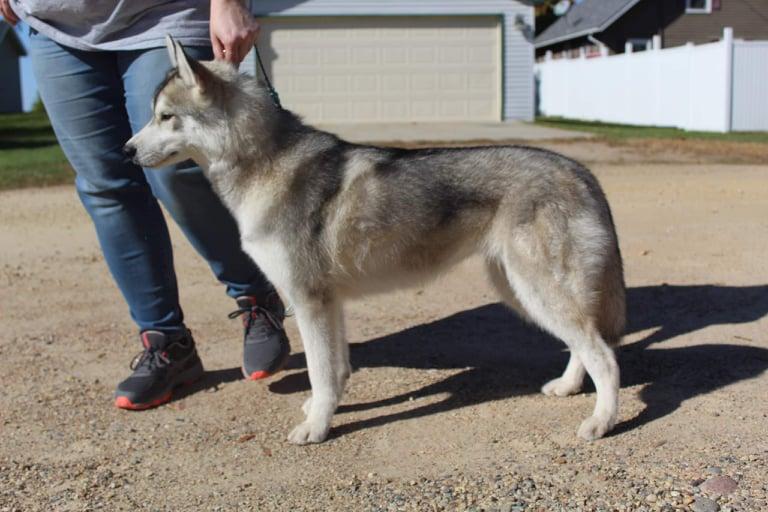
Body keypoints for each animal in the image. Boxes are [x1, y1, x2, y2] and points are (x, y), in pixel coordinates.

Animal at [126, 37, 628, 444]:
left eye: (165, 117)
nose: (127, 151)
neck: (262, 163)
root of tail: (582, 172)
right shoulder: (328, 303)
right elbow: (334, 371)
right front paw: (322, 410)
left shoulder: (308, 301)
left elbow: (320, 372)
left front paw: (316, 428)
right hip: (520, 292)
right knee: (584, 346)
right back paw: (568, 388)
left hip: (535, 292)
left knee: (604, 356)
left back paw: (601, 422)